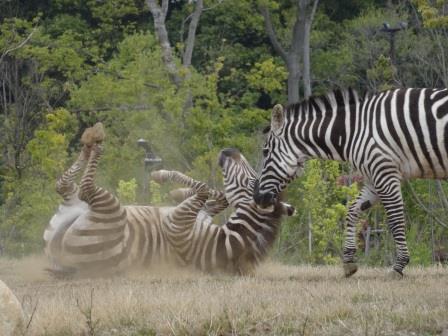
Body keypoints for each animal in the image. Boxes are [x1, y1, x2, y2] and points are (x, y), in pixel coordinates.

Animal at [152, 148, 296, 274]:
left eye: (252, 182)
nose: (230, 150)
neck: (224, 241)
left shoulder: (176, 224)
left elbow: (203, 188)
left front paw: (162, 178)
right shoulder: (202, 215)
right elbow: (221, 197)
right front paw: (180, 193)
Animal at [254, 88, 448, 276]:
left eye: (265, 152)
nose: (257, 198)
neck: (353, 131)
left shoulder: (385, 172)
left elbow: (395, 220)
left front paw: (399, 266)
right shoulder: (374, 178)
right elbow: (352, 211)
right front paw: (349, 262)